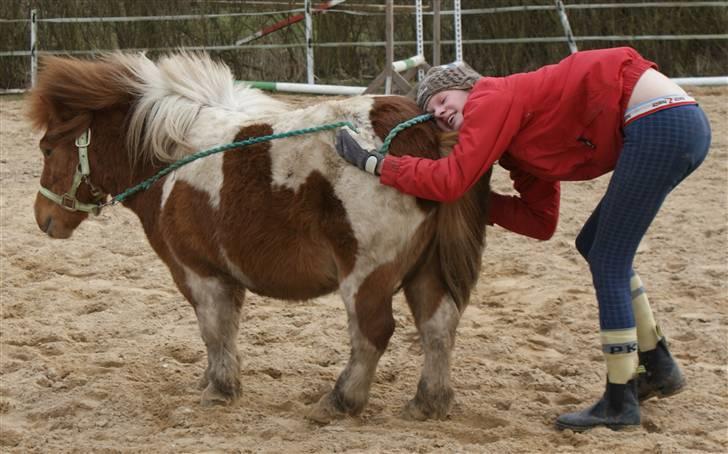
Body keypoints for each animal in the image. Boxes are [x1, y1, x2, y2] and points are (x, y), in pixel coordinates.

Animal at [29, 52, 494, 422]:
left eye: (49, 149)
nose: (42, 217)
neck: (175, 158)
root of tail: (422, 132)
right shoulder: (225, 277)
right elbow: (226, 331)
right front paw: (214, 379)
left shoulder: (198, 273)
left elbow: (213, 330)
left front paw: (220, 389)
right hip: (424, 271)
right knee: (438, 326)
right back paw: (428, 402)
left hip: (366, 275)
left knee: (373, 332)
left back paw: (341, 400)